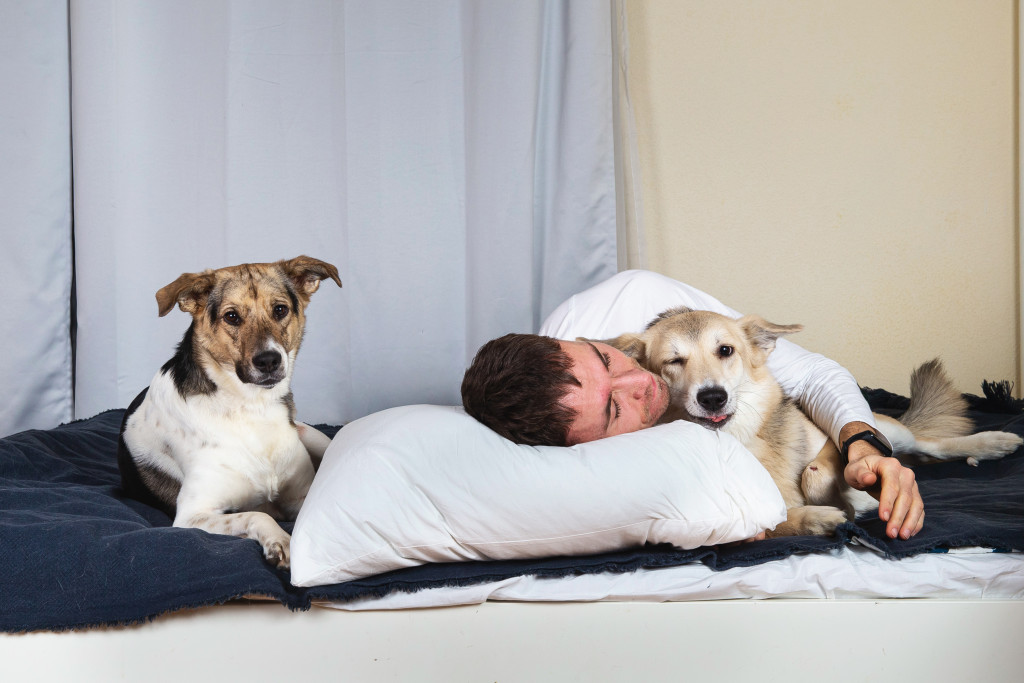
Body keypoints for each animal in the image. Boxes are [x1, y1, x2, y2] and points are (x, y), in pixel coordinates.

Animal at [116, 254, 339, 565]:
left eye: (280, 309)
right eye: (232, 316)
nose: (269, 360)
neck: (252, 407)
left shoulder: (302, 496)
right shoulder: (192, 515)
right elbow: (257, 514)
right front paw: (280, 540)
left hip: (312, 435)